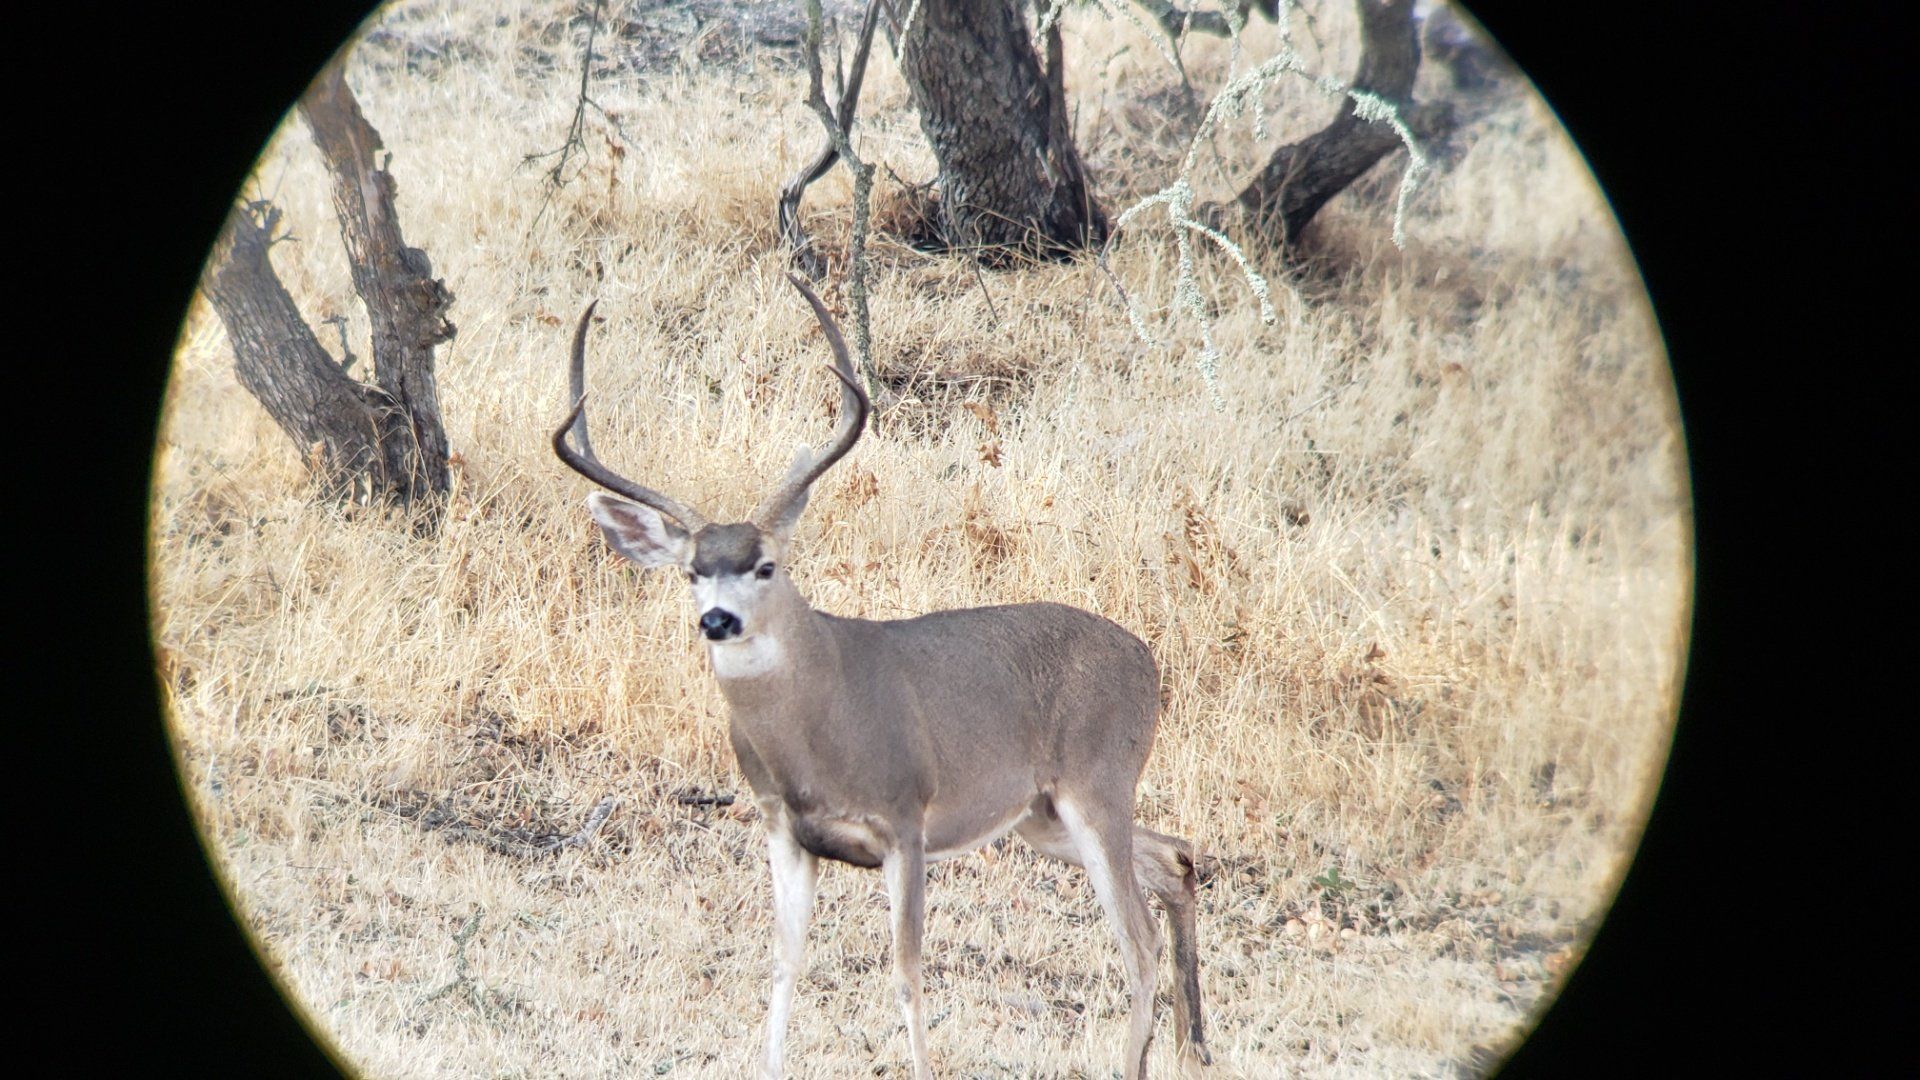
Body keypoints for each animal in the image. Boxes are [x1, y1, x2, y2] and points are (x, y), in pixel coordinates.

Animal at [553, 274, 1211, 1080]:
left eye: (765, 565)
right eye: (690, 572)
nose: (718, 621)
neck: (818, 733)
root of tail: (1147, 660)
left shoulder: (905, 817)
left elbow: (906, 972)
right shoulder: (785, 828)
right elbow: (784, 963)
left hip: (1098, 779)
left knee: (1136, 945)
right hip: (1040, 814)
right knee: (1174, 857)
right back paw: (1192, 1045)